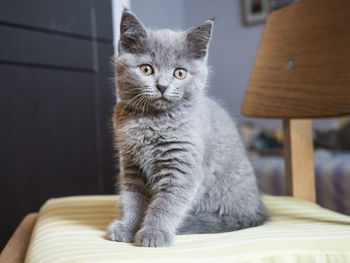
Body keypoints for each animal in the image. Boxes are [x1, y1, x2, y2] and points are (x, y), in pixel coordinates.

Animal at [106, 10, 266, 249]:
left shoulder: (182, 166)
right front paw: (127, 226)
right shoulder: (132, 165)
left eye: (180, 73)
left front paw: (154, 232)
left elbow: (166, 203)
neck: (152, 119)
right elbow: (132, 199)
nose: (162, 86)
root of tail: (259, 209)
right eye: (146, 69)